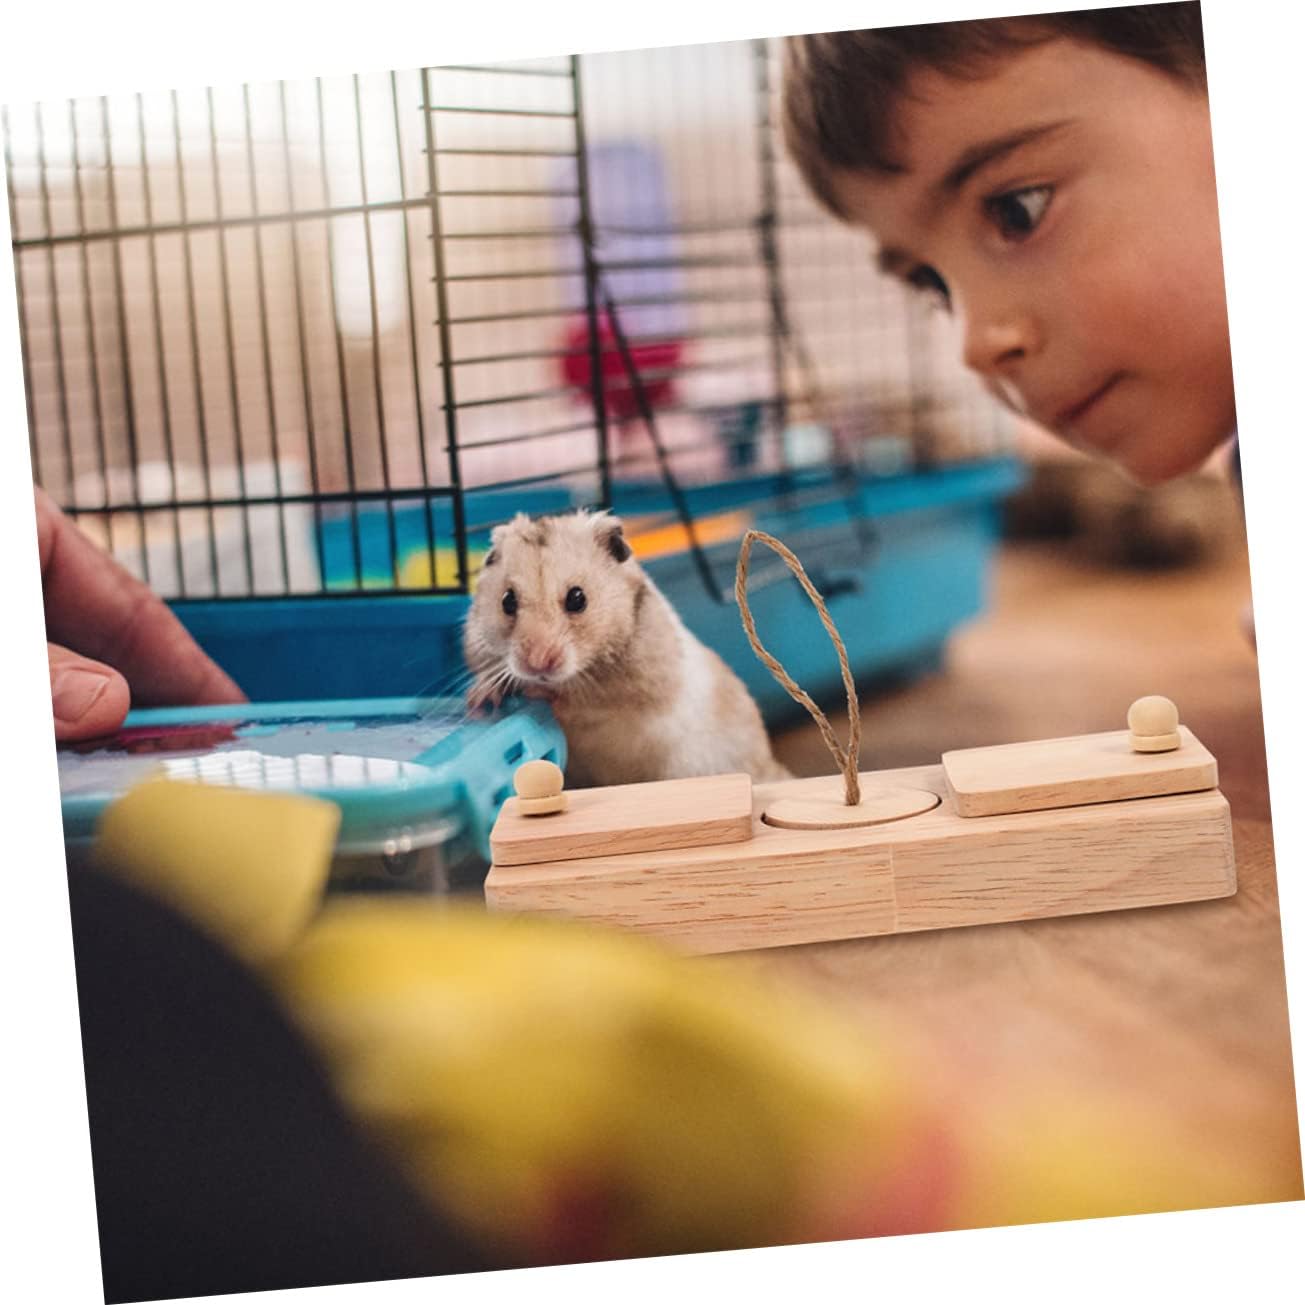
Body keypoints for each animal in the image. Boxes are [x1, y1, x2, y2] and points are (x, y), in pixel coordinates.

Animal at [463, 509, 790, 788]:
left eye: (577, 598)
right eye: (507, 601)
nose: (537, 664)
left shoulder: (630, 692)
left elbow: (580, 703)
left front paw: (535, 691)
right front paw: (480, 698)